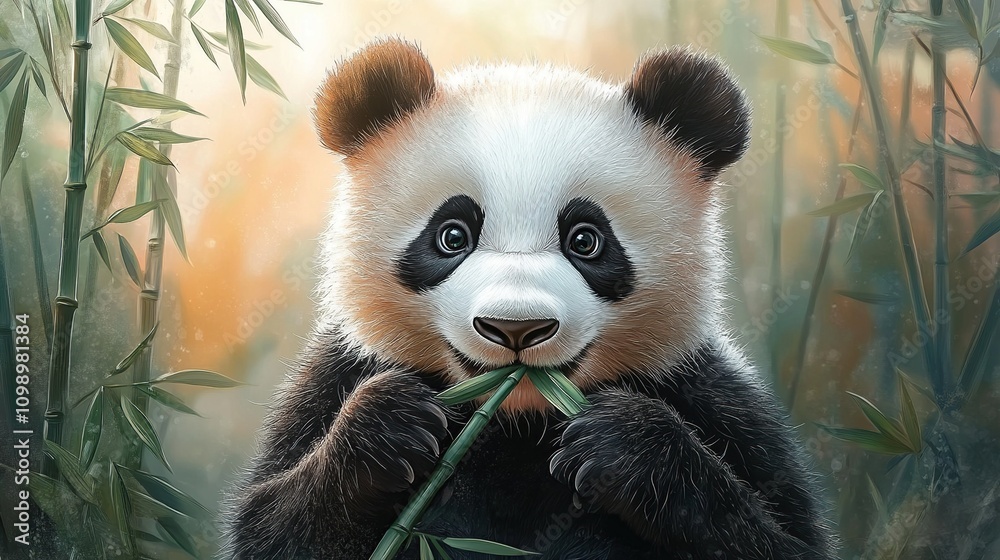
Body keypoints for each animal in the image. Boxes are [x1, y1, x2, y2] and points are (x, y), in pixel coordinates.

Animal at [225, 38, 836, 559]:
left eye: (586, 240)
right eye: (452, 235)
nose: (515, 328)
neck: (517, 419)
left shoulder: (708, 394)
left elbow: (786, 537)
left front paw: (626, 446)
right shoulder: (339, 374)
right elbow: (270, 526)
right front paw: (390, 425)